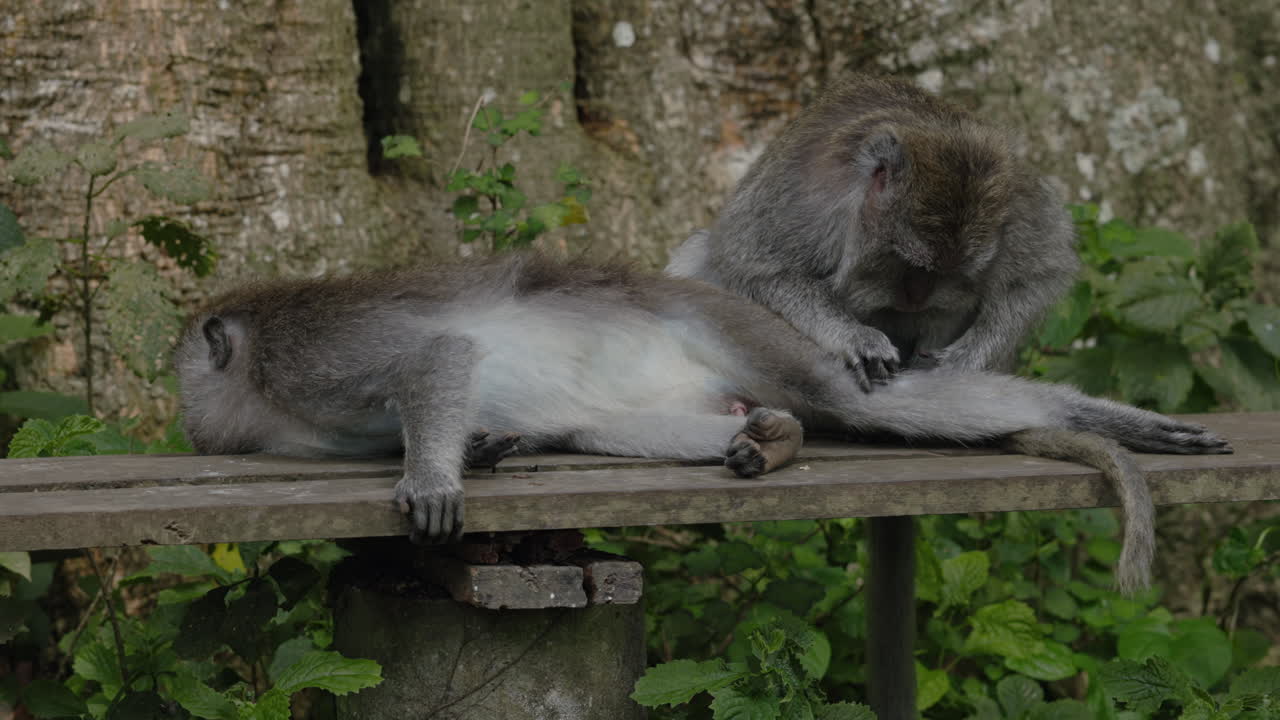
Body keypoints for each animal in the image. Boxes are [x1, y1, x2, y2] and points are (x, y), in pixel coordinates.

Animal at [176, 252, 1229, 550]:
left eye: (185, 369)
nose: (185, 418)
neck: (268, 385)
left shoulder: (316, 354)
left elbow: (438, 354)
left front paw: (435, 474)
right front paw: (479, 450)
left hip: (730, 321)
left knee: (856, 400)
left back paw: (1106, 423)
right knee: (603, 430)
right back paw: (773, 439)